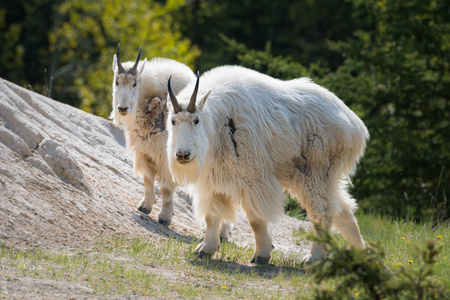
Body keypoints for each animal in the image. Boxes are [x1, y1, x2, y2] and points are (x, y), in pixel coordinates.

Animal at [110, 44, 195, 225]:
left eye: (135, 83)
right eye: (116, 82)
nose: (123, 108)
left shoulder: (167, 157)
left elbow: (166, 187)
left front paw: (164, 217)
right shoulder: (144, 151)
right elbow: (148, 179)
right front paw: (145, 206)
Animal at [165, 67, 370, 264]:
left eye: (196, 120)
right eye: (173, 121)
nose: (183, 154)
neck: (217, 124)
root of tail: (356, 126)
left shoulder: (253, 178)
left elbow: (256, 220)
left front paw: (262, 255)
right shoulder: (211, 181)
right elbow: (211, 216)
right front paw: (205, 249)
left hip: (316, 172)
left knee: (323, 212)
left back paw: (313, 257)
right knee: (342, 210)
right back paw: (360, 252)